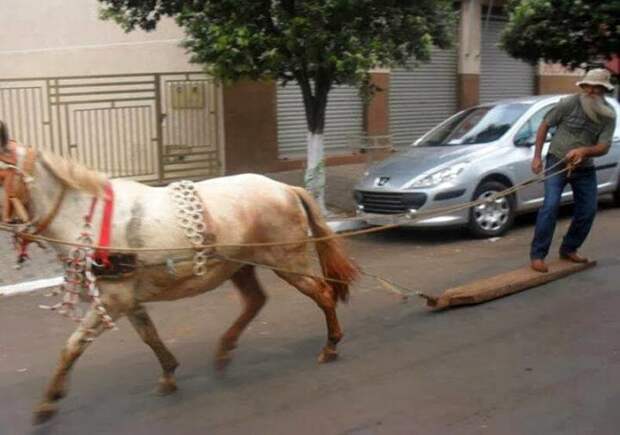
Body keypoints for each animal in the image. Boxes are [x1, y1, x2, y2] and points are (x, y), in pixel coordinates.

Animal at [0, 132, 358, 422]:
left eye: (2, 174)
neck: (89, 216)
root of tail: (287, 188)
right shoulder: (125, 300)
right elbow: (150, 336)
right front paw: (169, 374)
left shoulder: (113, 301)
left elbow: (72, 346)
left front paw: (48, 402)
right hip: (239, 265)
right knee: (256, 301)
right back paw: (224, 350)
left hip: (287, 262)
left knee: (323, 294)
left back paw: (330, 346)